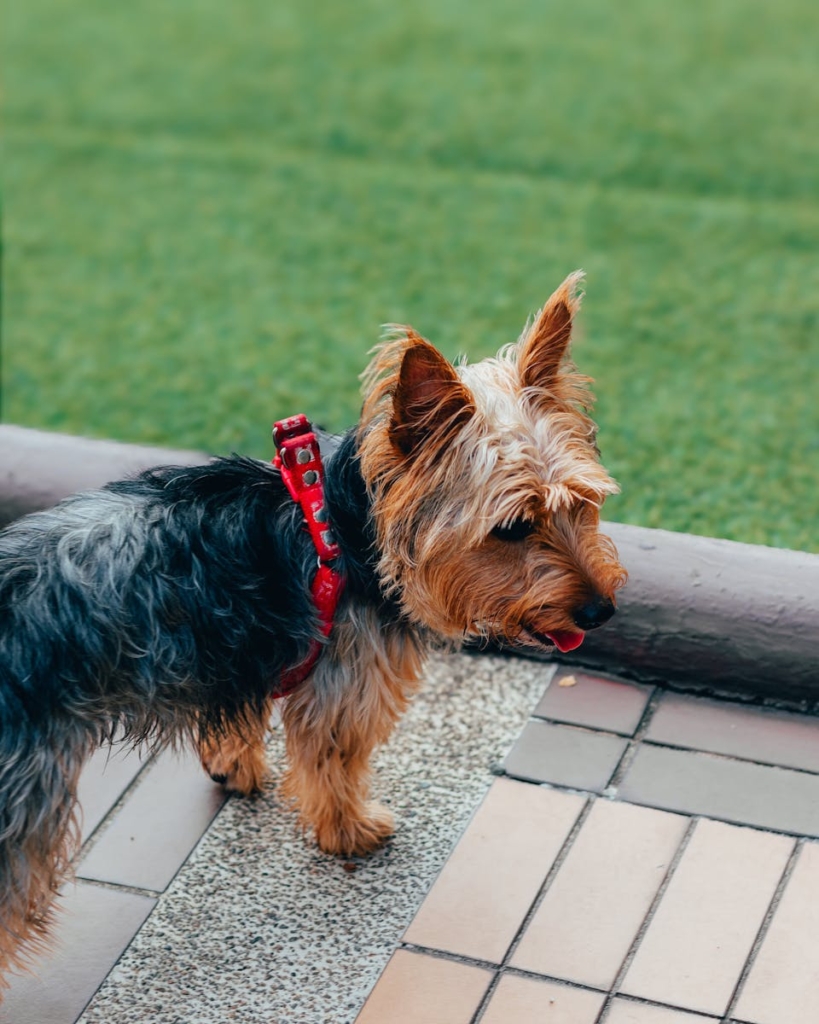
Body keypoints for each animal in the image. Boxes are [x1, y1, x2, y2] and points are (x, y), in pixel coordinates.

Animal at [1, 270, 626, 974]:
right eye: (513, 528)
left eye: (584, 505)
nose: (600, 610)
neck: (349, 523)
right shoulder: (343, 679)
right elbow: (334, 757)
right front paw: (349, 830)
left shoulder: (247, 660)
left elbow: (239, 719)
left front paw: (233, 764)